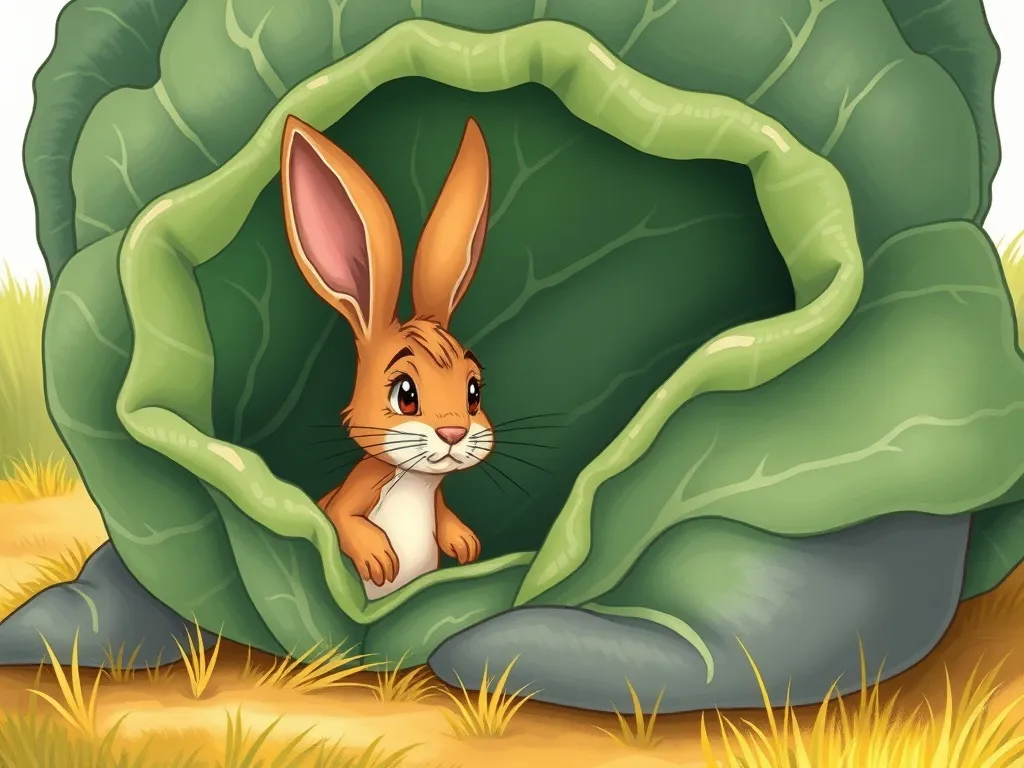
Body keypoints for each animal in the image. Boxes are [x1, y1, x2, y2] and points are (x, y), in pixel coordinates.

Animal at [280, 114, 493, 600]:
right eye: (405, 394)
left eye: (473, 391)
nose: (453, 432)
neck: (415, 481)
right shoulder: (358, 488)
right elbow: (341, 517)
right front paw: (379, 559)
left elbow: (444, 514)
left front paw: (466, 542)